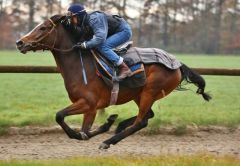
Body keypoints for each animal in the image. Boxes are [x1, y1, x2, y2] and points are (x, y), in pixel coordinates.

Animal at [15, 14, 211, 149]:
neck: (80, 65)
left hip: (150, 91)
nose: (20, 42)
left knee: (141, 121)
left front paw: (96, 130)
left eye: (44, 27)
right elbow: (81, 129)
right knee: (148, 116)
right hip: (139, 94)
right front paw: (109, 121)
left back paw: (109, 141)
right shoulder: (89, 107)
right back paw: (119, 125)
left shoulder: (89, 103)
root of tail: (178, 64)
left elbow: (66, 120)